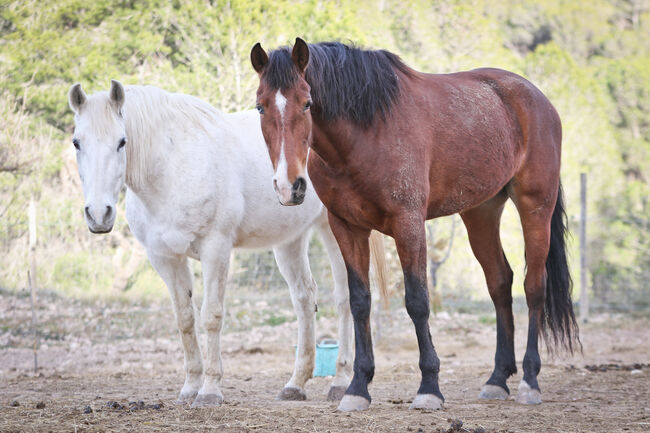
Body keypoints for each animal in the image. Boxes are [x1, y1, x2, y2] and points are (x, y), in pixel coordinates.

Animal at [67, 79, 382, 406]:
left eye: (121, 142)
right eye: (77, 142)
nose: (99, 214)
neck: (173, 167)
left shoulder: (215, 249)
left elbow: (211, 316)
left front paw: (209, 390)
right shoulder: (165, 257)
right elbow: (185, 319)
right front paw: (190, 387)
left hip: (334, 231)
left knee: (344, 299)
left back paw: (341, 382)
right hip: (289, 241)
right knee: (304, 298)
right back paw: (295, 384)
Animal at [249, 38, 576, 410]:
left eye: (307, 103)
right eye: (260, 107)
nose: (290, 186)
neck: (368, 132)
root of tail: (538, 98)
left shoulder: (409, 224)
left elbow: (418, 301)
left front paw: (429, 387)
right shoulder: (346, 227)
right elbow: (360, 301)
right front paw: (358, 387)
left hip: (535, 207)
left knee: (533, 287)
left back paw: (530, 381)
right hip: (481, 212)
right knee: (499, 283)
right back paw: (496, 379)